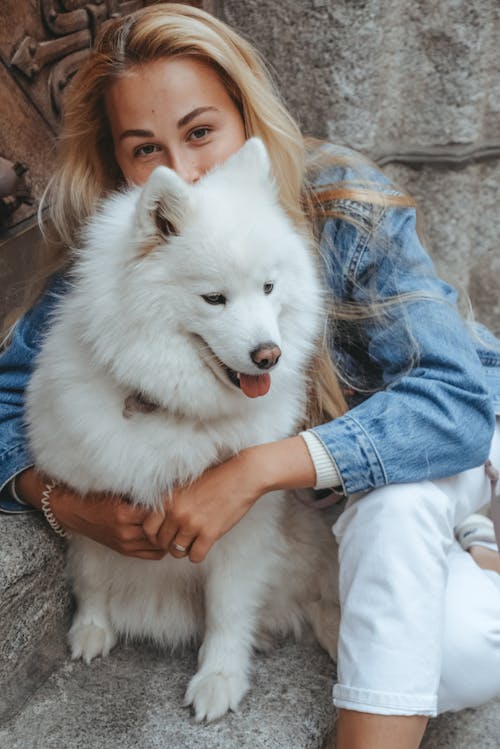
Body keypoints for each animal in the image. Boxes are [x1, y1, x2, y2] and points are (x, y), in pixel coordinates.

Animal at [27, 139, 340, 720]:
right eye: (214, 298)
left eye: (269, 287)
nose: (269, 355)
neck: (172, 408)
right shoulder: (87, 495)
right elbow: (91, 574)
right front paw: (92, 629)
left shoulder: (240, 523)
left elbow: (227, 609)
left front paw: (219, 678)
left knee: (317, 603)